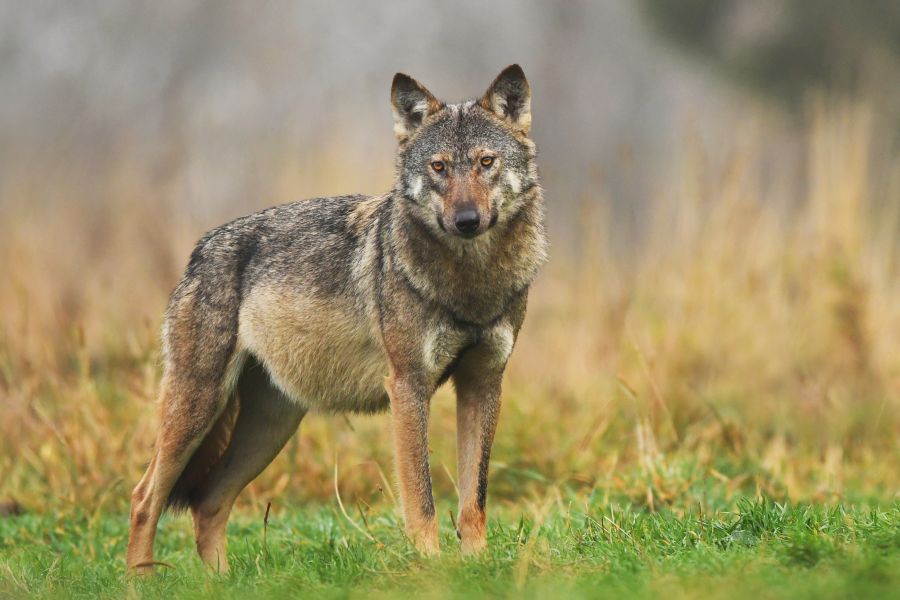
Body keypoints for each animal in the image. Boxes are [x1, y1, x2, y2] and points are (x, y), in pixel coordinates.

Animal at [125, 65, 548, 572]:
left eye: (486, 162)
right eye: (439, 167)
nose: (466, 220)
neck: (471, 283)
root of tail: (201, 248)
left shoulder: (483, 383)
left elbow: (473, 500)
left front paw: (478, 567)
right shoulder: (408, 385)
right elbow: (422, 500)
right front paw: (431, 569)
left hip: (271, 427)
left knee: (208, 502)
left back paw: (220, 583)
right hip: (198, 408)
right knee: (144, 497)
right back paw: (141, 582)